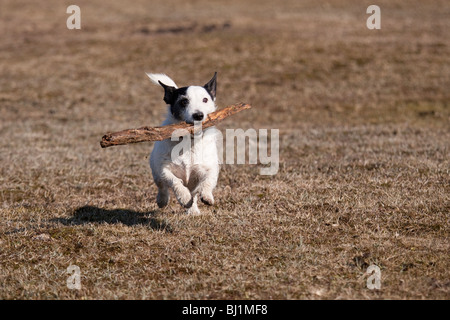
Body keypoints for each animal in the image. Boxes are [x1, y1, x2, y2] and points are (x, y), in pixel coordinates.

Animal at [146, 72, 220, 215]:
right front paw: (184, 196)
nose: (198, 115)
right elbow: (174, 181)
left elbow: (208, 180)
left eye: (205, 100)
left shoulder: (209, 168)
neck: (189, 141)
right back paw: (162, 200)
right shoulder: (164, 168)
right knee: (162, 186)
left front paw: (207, 196)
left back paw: (193, 210)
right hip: (155, 171)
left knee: (194, 193)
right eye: (184, 101)